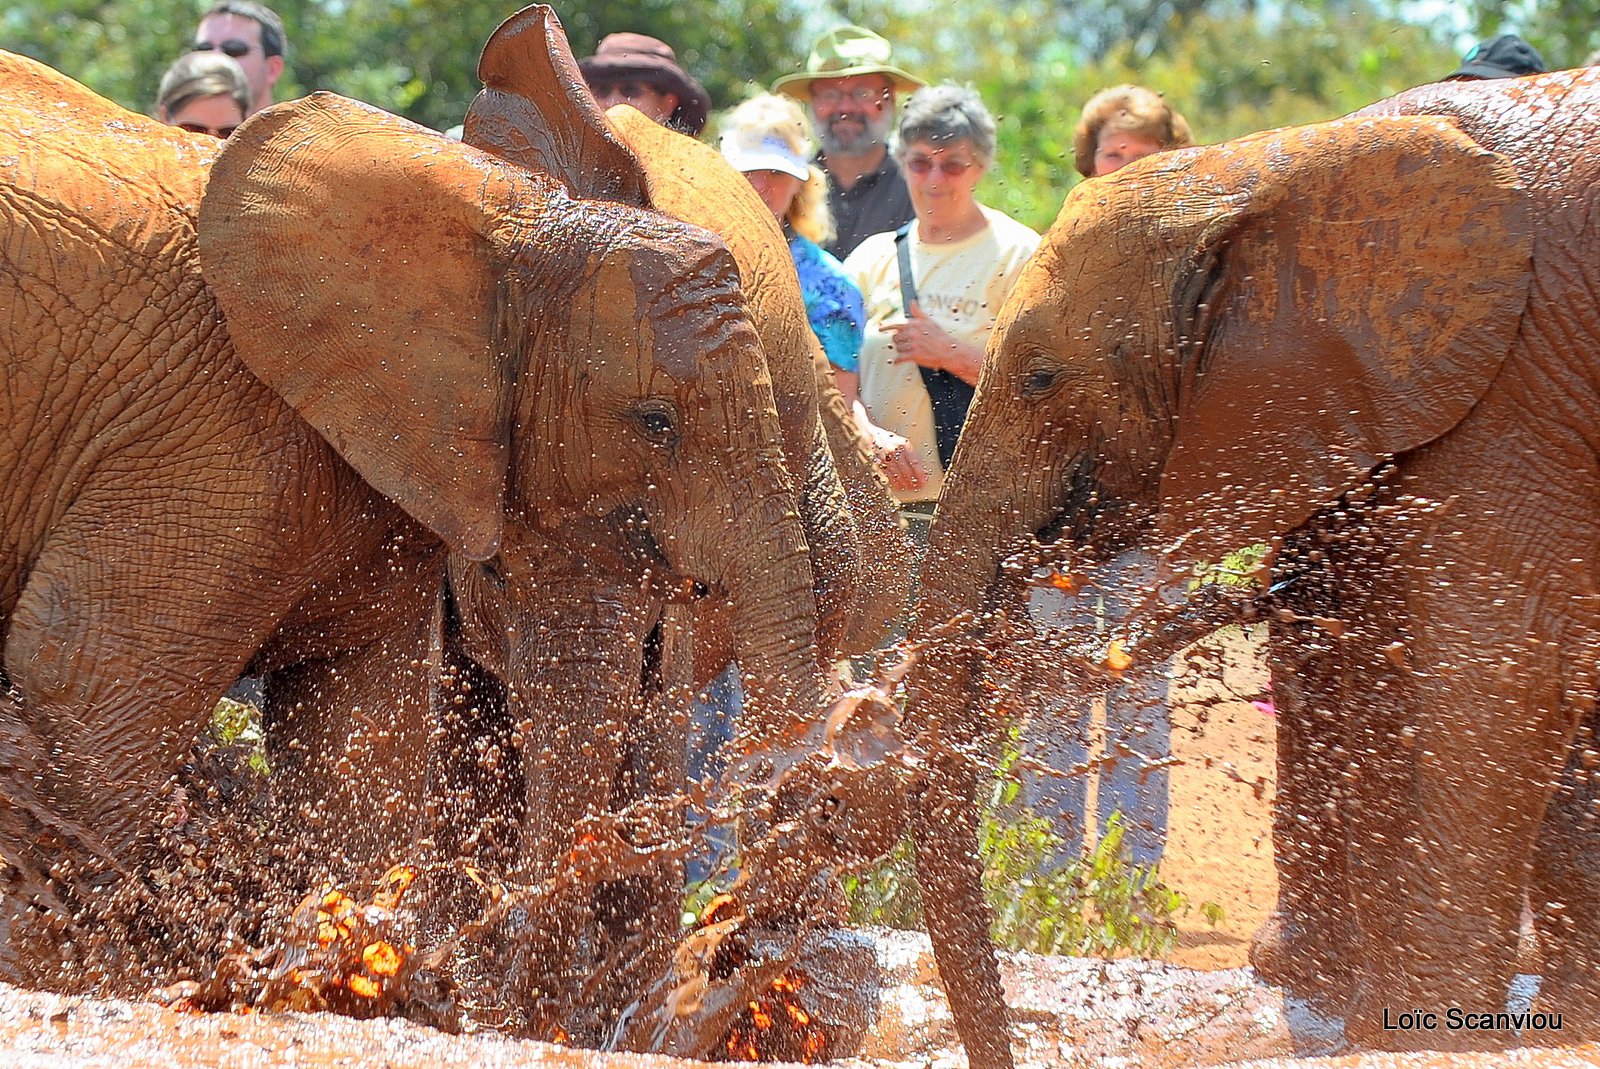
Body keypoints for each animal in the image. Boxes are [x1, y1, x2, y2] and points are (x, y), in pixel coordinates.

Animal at [908, 68, 1593, 1069]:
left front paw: (1430, 1026)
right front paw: (1353, 1012)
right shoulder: (1346, 393)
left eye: (1040, 377)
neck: (1266, 170)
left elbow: (1487, 676)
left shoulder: (1511, 392)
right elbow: (1348, 644)